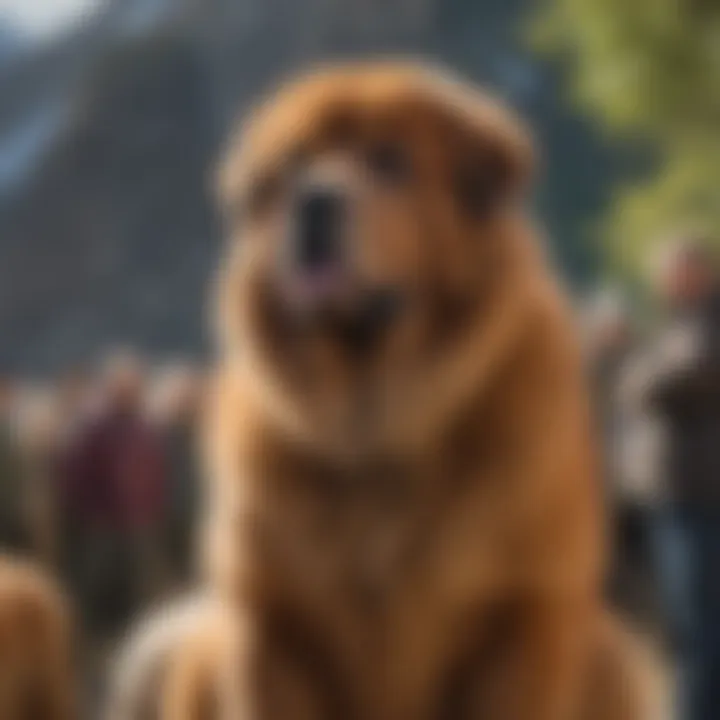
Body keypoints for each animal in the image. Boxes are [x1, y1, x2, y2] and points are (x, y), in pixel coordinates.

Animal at [169, 63, 648, 720]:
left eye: (390, 161)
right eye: (291, 168)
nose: (312, 200)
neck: (379, 423)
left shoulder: (520, 616)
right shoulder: (274, 628)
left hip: (607, 654)